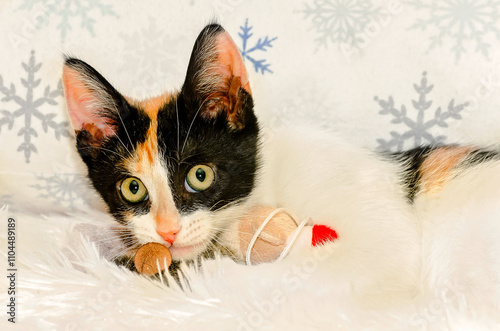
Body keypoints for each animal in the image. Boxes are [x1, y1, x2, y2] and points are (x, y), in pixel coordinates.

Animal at [63, 22, 500, 300]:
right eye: (132, 188)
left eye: (200, 175)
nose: (167, 233)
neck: (263, 189)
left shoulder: (377, 238)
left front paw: (195, 274)